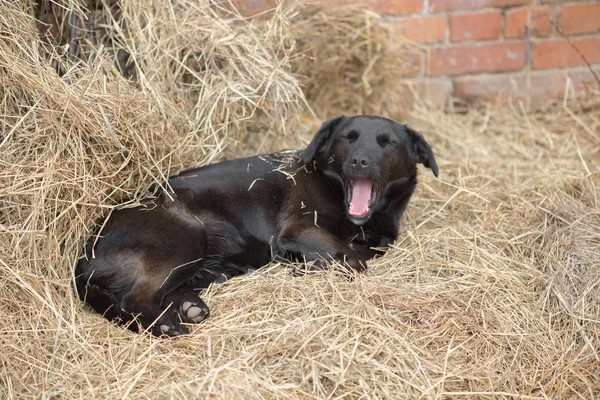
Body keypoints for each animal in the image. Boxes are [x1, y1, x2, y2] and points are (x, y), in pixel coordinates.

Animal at [77, 115, 438, 334]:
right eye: (348, 139)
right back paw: (167, 324)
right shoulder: (298, 229)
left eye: (386, 142)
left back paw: (189, 305)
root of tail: (83, 259)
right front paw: (309, 267)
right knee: (133, 298)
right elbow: (353, 259)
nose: (359, 161)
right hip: (185, 235)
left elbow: (359, 253)